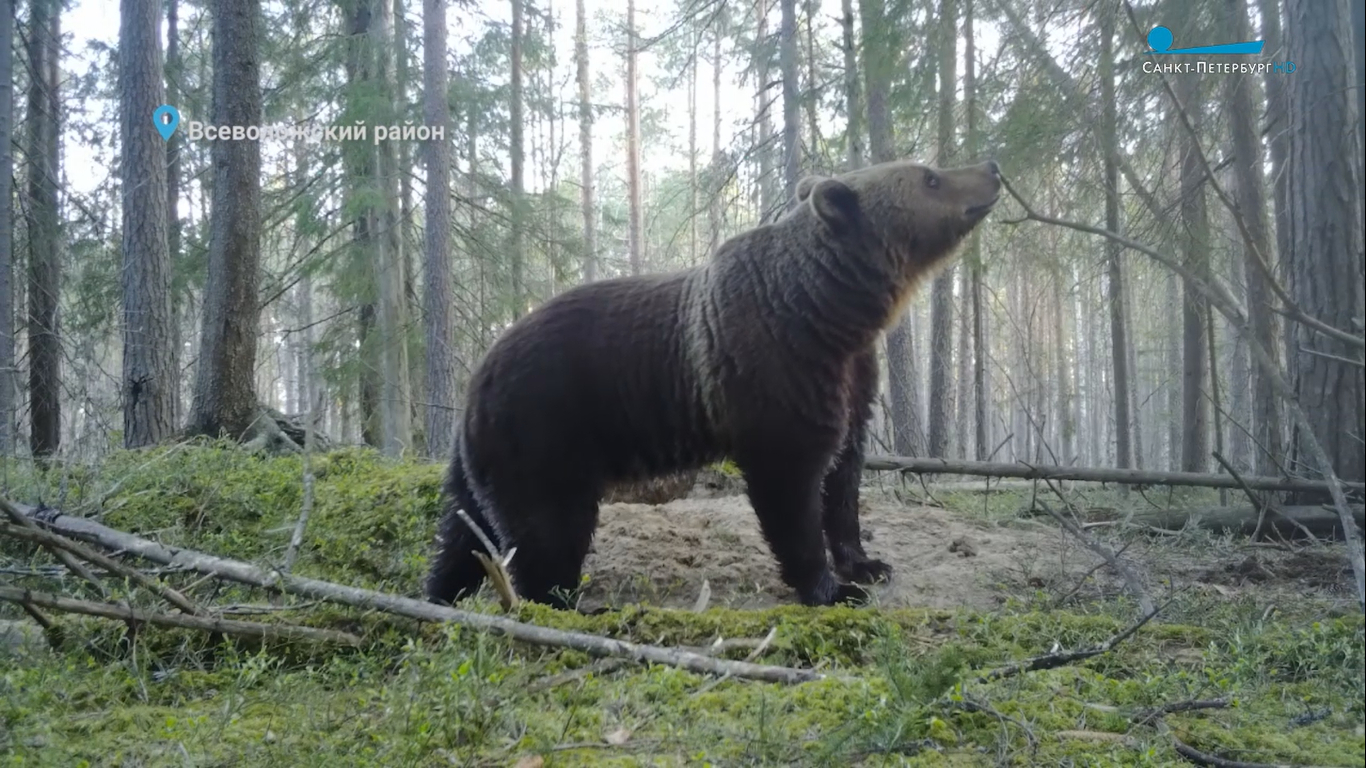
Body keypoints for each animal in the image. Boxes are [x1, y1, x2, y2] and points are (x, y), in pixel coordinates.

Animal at [426, 158, 1005, 606]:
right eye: (930, 176)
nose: (992, 168)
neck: (829, 313)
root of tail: (476, 378)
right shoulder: (777, 374)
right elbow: (791, 487)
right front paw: (831, 588)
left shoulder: (852, 379)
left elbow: (843, 480)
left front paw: (867, 564)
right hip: (544, 432)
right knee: (547, 533)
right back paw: (565, 602)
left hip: (483, 456)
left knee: (462, 533)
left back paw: (440, 595)